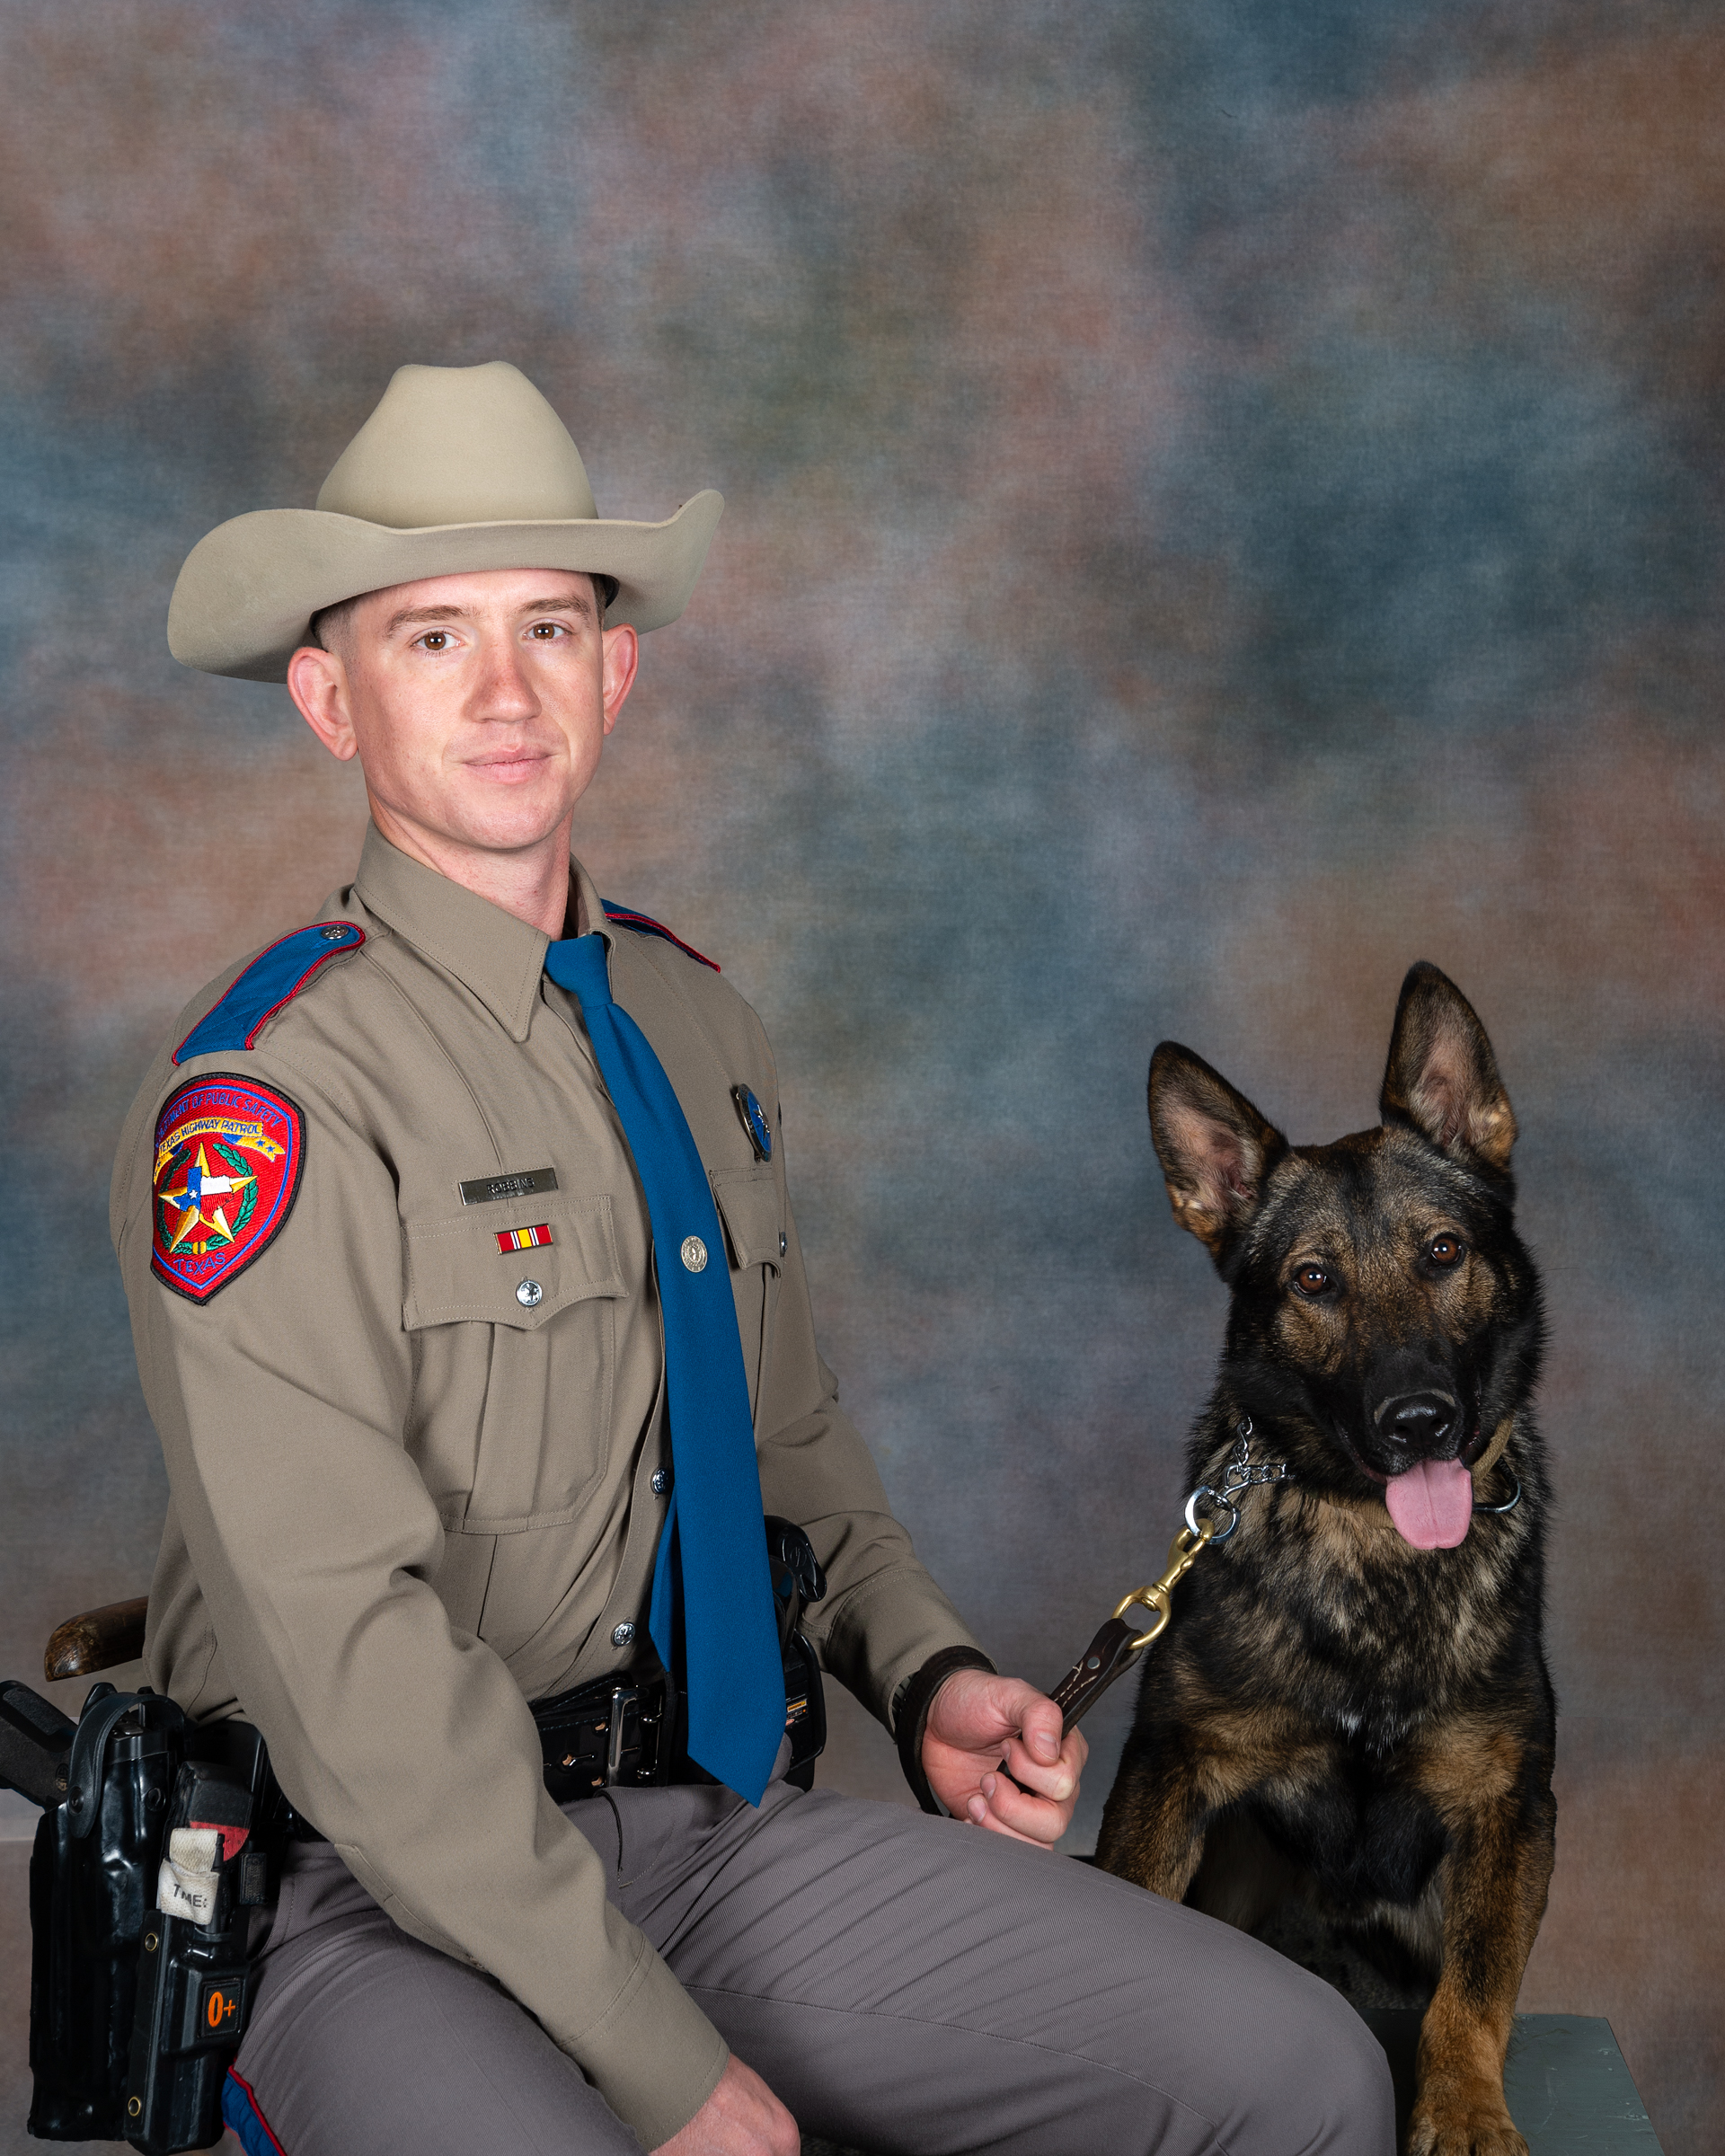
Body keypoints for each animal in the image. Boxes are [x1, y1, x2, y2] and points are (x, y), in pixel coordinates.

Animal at [1100, 970, 1552, 2156]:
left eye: (1443, 1252)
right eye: (1313, 1281)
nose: (1420, 1422)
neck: (1374, 1550)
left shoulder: (1508, 1808)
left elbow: (1471, 1995)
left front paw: (1465, 2109)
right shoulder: (1172, 1771)